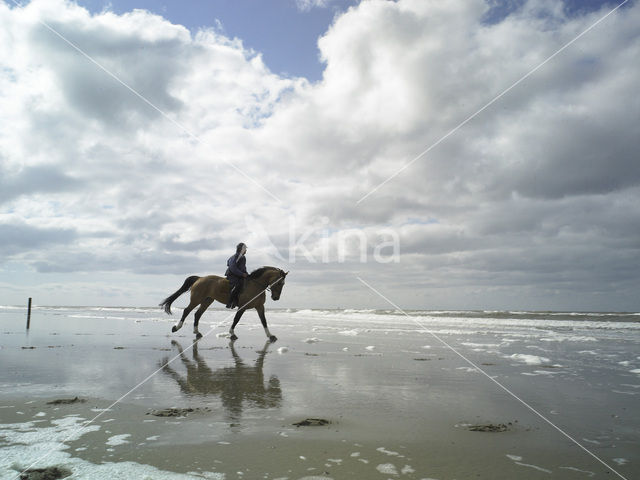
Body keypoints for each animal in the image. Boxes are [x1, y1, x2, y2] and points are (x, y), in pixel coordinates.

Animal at [159, 266, 288, 342]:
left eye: (283, 284)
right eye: (279, 283)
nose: (276, 298)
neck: (256, 285)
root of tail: (200, 278)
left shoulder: (260, 306)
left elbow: (264, 321)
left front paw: (270, 336)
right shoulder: (243, 307)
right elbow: (236, 319)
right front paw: (232, 334)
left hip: (207, 300)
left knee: (197, 314)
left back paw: (197, 332)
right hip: (197, 299)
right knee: (187, 311)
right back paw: (176, 328)